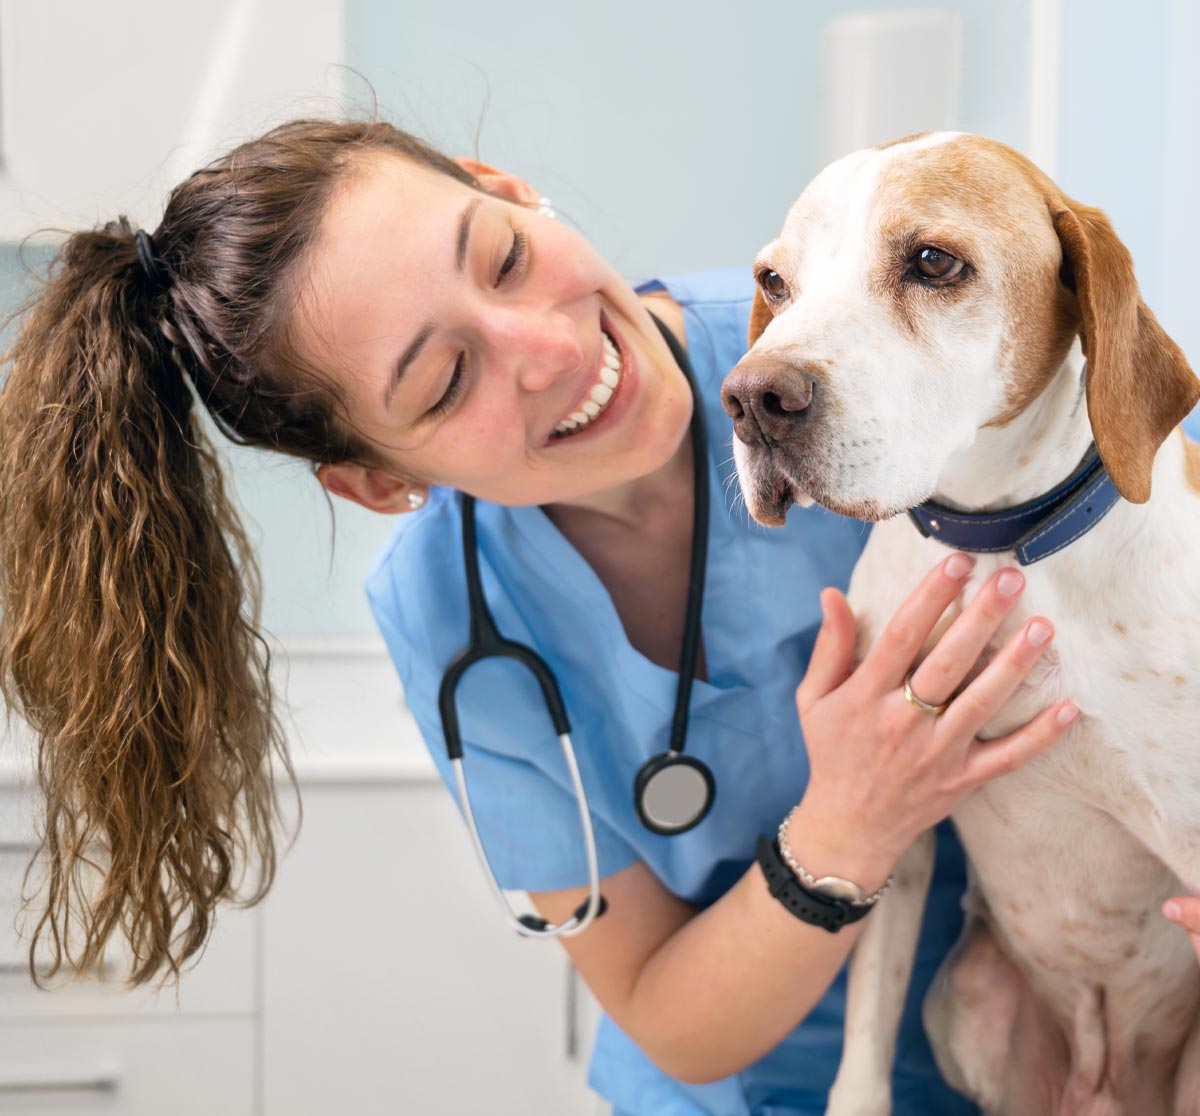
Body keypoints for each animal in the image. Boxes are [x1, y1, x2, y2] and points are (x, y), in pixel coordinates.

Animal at [720, 132, 1200, 1113]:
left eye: (934, 262)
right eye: (774, 282)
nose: (749, 400)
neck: (1002, 545)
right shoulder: (888, 830)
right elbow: (864, 1051)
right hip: (967, 998)